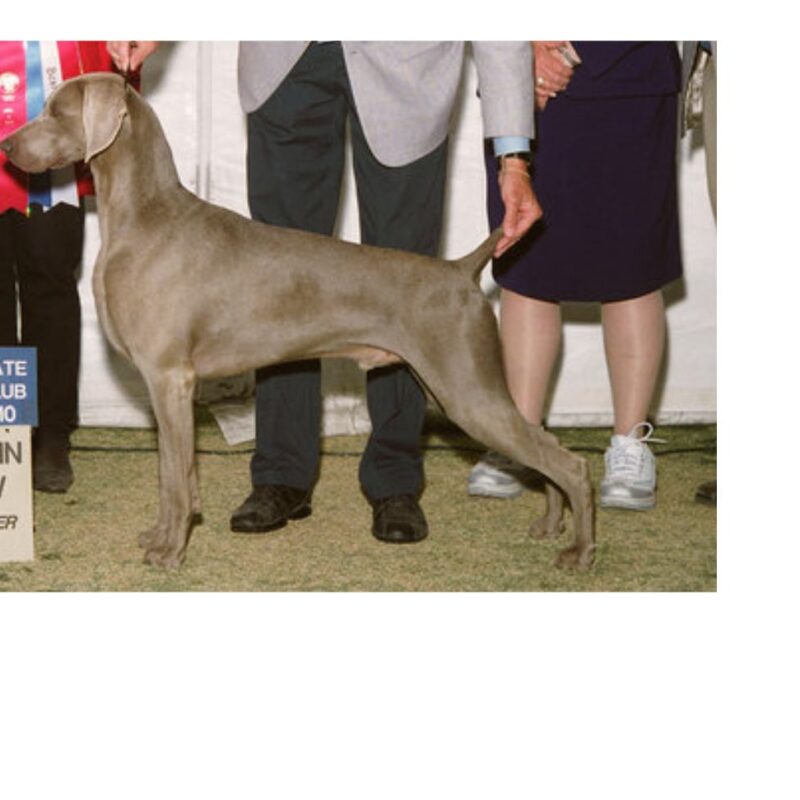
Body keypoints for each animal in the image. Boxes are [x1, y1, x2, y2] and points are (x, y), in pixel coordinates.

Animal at [1, 75, 592, 568]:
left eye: (56, 111)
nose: (7, 146)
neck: (144, 217)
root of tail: (460, 269)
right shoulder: (164, 386)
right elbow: (174, 471)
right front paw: (163, 536)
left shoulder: (170, 379)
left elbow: (175, 476)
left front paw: (170, 551)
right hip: (464, 387)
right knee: (546, 447)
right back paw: (550, 525)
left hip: (467, 390)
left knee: (569, 463)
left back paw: (578, 551)